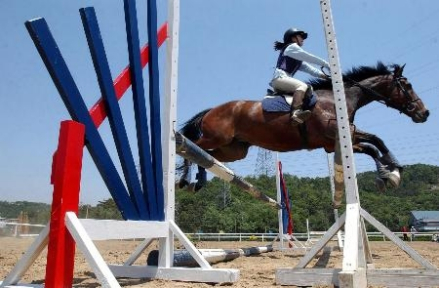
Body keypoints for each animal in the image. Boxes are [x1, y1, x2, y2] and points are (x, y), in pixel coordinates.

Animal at [178, 63, 430, 194]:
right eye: (407, 85)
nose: (424, 113)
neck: (339, 100)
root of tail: (211, 110)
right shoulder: (336, 138)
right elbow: (372, 146)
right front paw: (388, 174)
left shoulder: (339, 141)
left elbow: (376, 142)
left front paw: (393, 170)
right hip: (215, 137)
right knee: (190, 146)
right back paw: (184, 180)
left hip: (234, 150)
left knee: (207, 156)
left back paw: (199, 180)